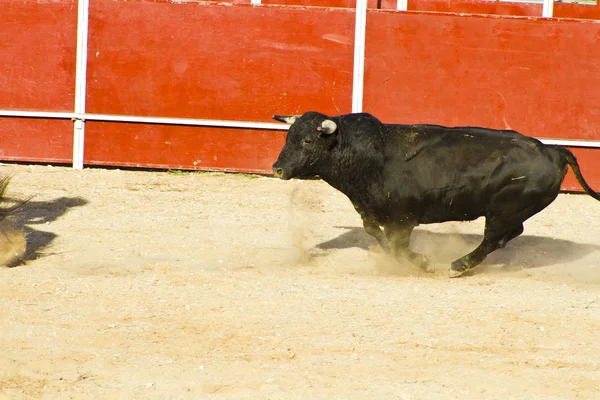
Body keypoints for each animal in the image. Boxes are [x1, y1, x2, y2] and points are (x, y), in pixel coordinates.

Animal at [272, 111, 600, 276]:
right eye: (288, 138)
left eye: (306, 141)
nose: (277, 169)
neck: (366, 155)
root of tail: (554, 150)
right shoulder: (372, 212)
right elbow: (378, 236)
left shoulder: (403, 218)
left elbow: (398, 244)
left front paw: (423, 263)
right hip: (508, 211)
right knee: (509, 234)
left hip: (504, 210)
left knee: (494, 238)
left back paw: (457, 266)